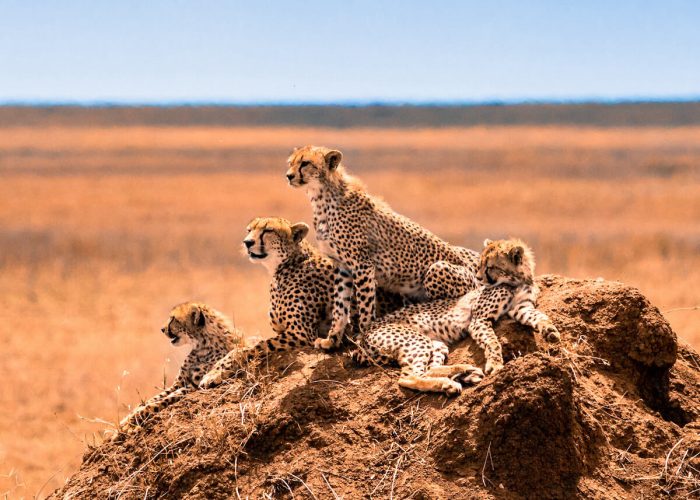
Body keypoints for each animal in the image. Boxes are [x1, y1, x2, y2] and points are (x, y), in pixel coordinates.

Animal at [115, 302, 245, 436]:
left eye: (173, 319)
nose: (162, 329)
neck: (201, 345)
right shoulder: (178, 384)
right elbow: (153, 399)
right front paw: (126, 421)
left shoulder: (195, 385)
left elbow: (160, 401)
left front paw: (134, 421)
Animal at [286, 145, 481, 334]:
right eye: (290, 163)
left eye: (305, 163)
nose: (288, 176)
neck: (321, 197)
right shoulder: (342, 266)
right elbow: (340, 305)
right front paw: (332, 337)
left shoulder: (362, 265)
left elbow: (365, 304)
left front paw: (364, 332)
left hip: (437, 269)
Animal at [351, 238, 561, 395]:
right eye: (480, 264)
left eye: (490, 266)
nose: (479, 278)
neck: (516, 281)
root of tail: (363, 332)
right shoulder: (479, 319)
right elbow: (492, 341)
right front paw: (495, 364)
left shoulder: (521, 308)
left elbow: (538, 316)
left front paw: (550, 330)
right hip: (416, 341)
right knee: (407, 376)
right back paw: (449, 382)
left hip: (436, 344)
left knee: (428, 369)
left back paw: (463, 372)